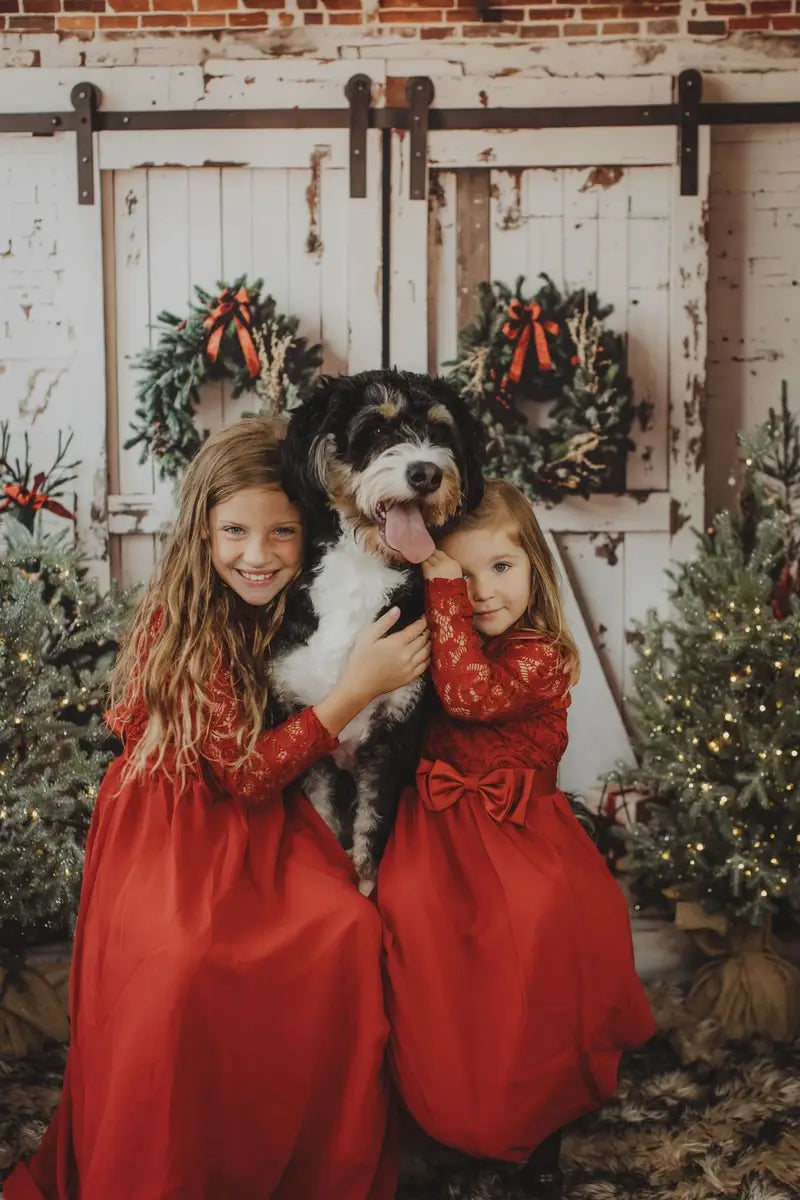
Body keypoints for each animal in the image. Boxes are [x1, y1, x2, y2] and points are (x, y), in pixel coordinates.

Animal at [268, 369, 484, 888]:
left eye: (441, 431)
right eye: (377, 428)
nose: (426, 473)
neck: (362, 567)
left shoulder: (393, 739)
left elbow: (371, 830)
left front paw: (363, 885)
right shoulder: (304, 728)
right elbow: (324, 823)